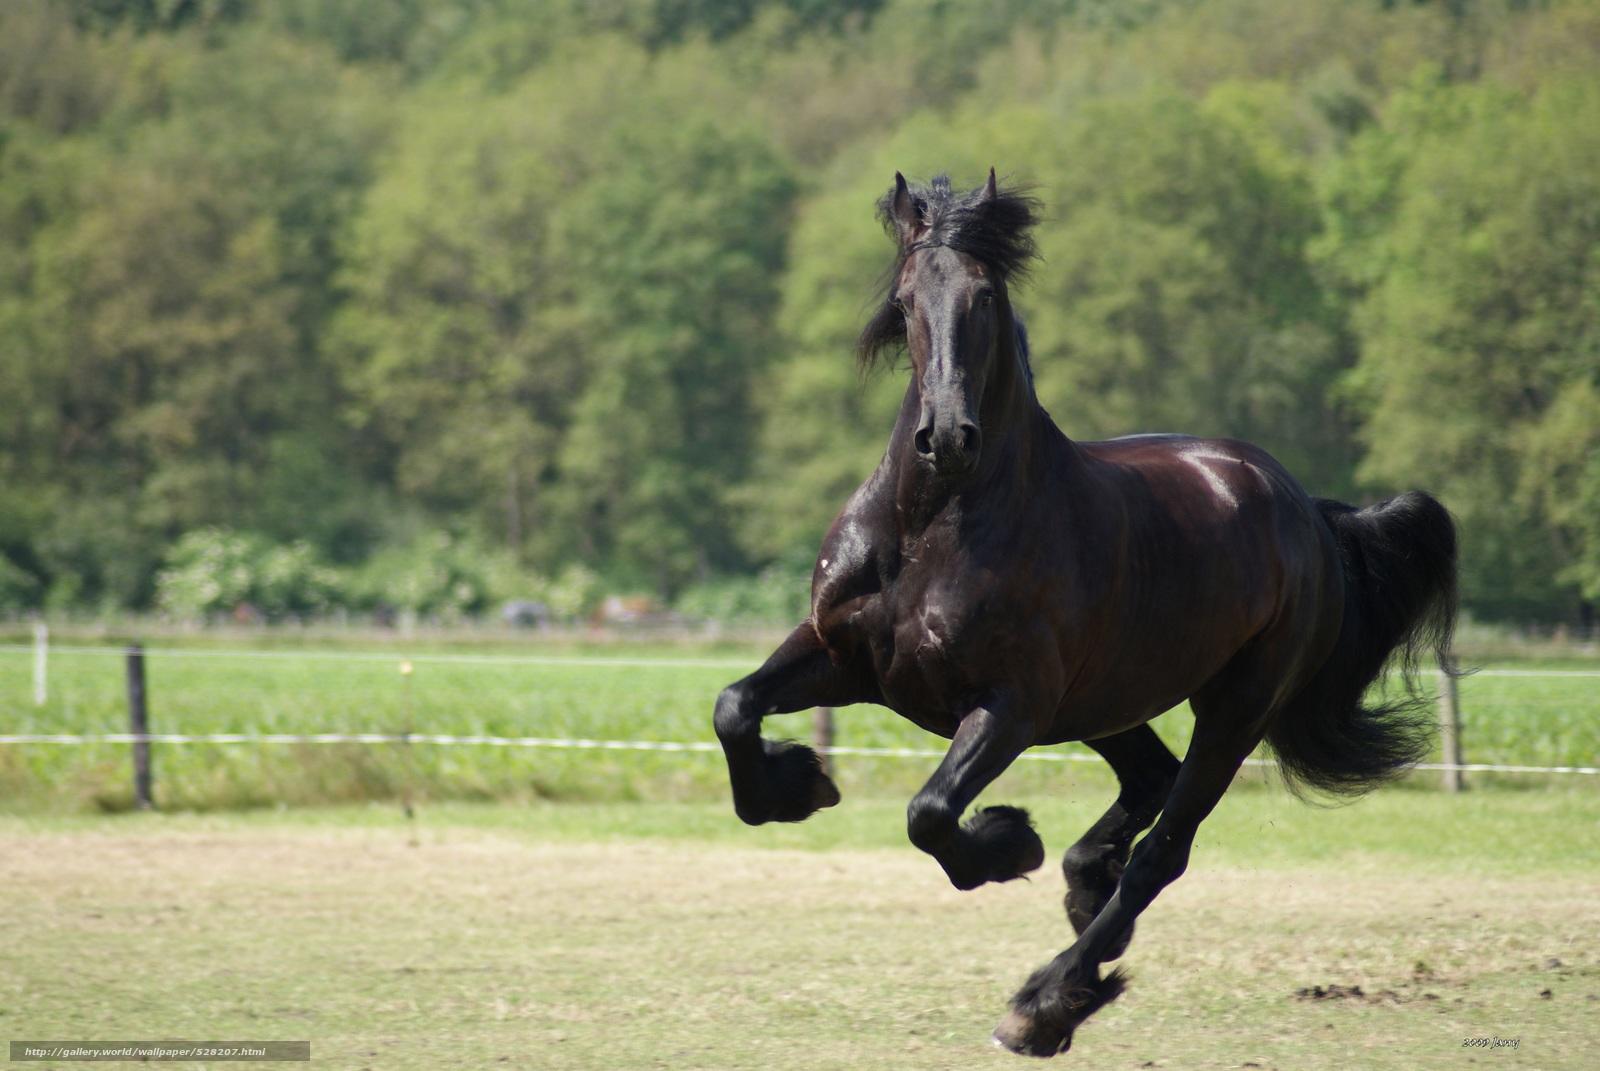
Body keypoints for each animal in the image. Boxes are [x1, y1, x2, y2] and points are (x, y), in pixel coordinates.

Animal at [720, 171, 1459, 1056]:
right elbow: (735, 706)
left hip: (1233, 706)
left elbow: (930, 813)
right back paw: (1083, 887)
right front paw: (797, 783)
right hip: (1105, 701)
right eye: (904, 301)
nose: (948, 437)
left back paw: (1047, 999)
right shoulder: (846, 656)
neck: (935, 525)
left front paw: (1007, 841)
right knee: (1150, 779)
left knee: (1164, 848)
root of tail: (1306, 510)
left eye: (986, 295)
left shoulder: (1009, 706)